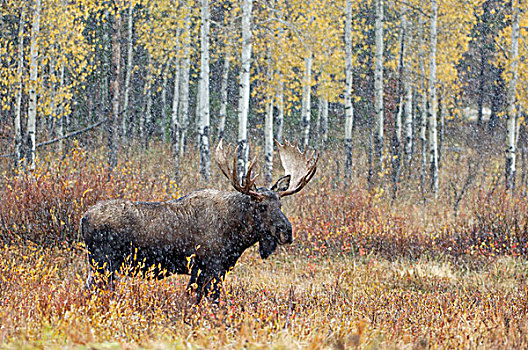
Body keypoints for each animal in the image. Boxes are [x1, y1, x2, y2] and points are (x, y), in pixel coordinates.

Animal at [82, 141, 318, 302]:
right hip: (103, 263)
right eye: (261, 206)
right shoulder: (210, 266)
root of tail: (84, 218)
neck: (237, 235)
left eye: (280, 204)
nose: (286, 232)